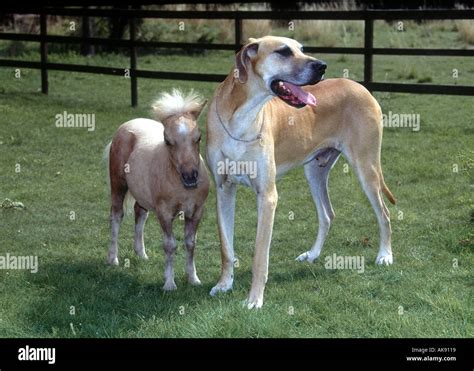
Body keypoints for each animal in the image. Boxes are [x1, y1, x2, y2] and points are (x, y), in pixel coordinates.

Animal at [105, 89, 209, 290]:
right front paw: (169, 284)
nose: (190, 176)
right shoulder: (164, 213)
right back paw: (113, 259)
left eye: (199, 137)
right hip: (118, 185)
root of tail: (127, 125)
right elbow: (170, 245)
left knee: (140, 214)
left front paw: (193, 279)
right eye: (167, 141)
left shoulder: (196, 212)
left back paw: (141, 254)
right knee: (117, 216)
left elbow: (190, 243)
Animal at [207, 36, 396, 310]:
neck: (241, 118)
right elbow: (226, 248)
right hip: (314, 171)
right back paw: (313, 254)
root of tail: (360, 86)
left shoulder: (267, 197)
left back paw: (385, 255)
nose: (322, 66)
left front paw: (254, 299)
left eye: (301, 49)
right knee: (327, 215)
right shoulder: (223, 190)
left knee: (384, 214)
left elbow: (260, 256)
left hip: (366, 168)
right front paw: (224, 284)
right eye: (283, 51)